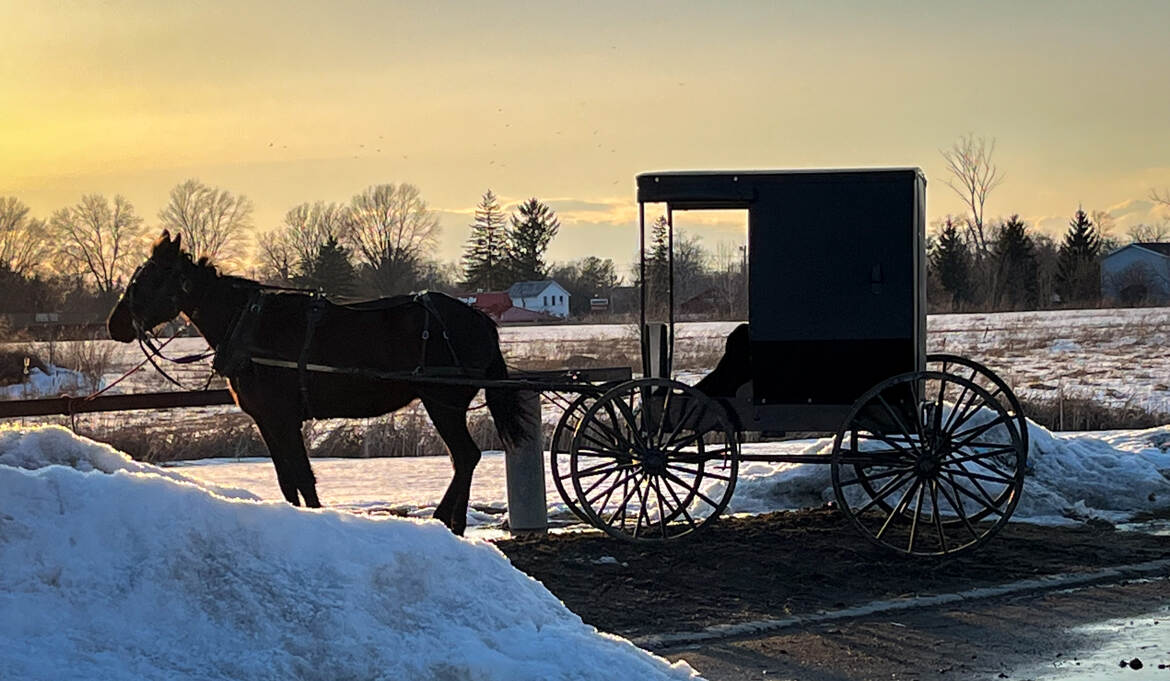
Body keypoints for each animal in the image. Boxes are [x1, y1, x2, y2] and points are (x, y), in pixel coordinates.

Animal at [107, 231, 533, 535]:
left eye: (150, 278)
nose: (115, 324)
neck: (250, 325)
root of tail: (481, 322)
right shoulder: (267, 420)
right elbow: (287, 480)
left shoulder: (282, 418)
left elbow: (302, 477)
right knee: (464, 458)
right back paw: (453, 523)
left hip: (443, 403)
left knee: (465, 456)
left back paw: (444, 520)